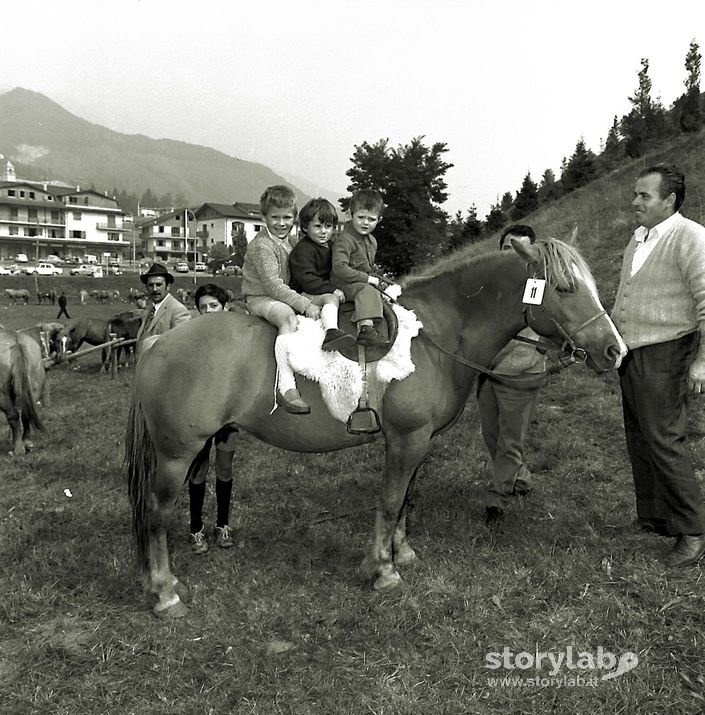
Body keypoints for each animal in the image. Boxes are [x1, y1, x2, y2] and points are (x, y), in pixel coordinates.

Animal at [0, 328, 46, 456]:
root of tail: (16, 343)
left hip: (2, 394)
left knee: (13, 416)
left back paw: (18, 448)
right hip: (33, 386)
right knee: (26, 413)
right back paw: (26, 442)